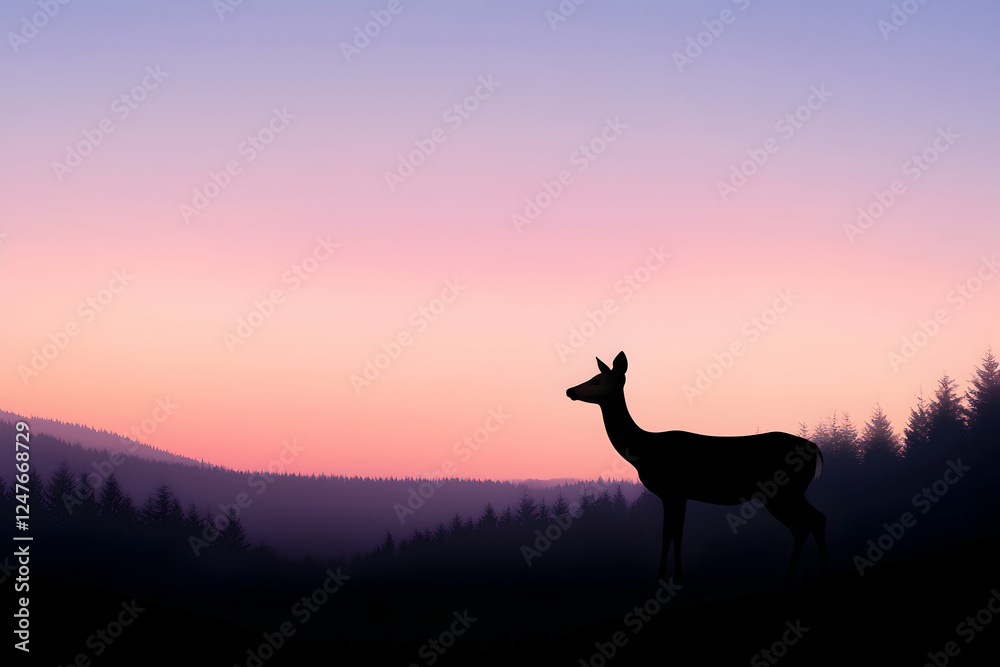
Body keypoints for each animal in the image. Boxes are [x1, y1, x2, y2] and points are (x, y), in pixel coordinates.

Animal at [566, 351, 830, 584]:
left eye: (596, 380)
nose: (570, 390)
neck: (644, 450)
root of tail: (816, 450)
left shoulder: (673, 492)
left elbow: (671, 532)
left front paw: (667, 578)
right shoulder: (677, 495)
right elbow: (674, 532)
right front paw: (671, 576)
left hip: (783, 491)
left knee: (805, 523)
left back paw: (792, 576)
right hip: (792, 492)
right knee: (817, 518)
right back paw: (819, 574)